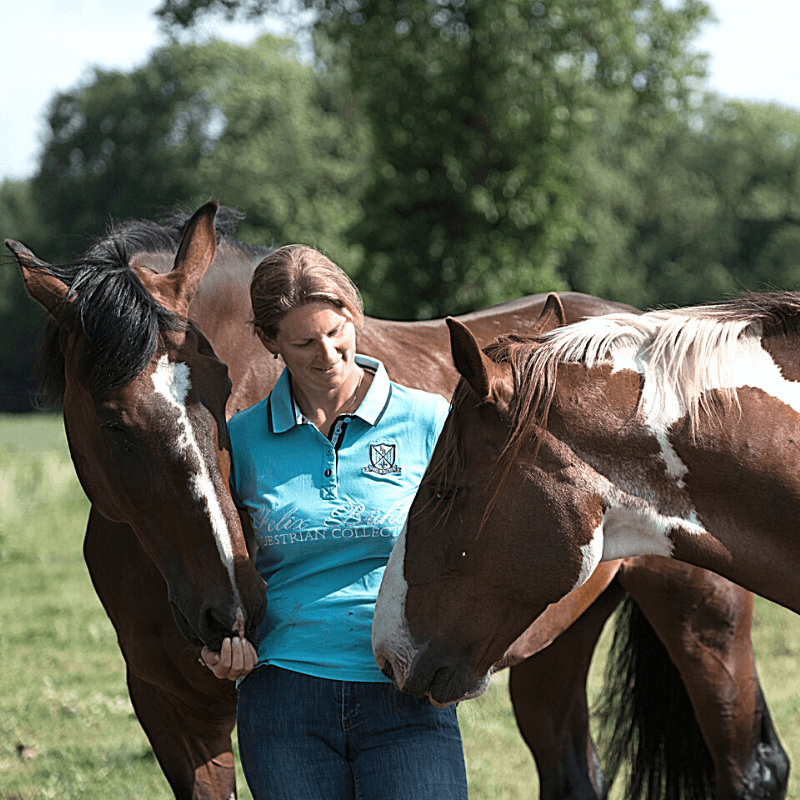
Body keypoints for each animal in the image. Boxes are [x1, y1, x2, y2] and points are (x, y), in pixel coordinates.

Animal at [7, 206, 788, 800]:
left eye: (222, 386)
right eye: (113, 421)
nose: (231, 608)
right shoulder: (175, 713)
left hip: (703, 618)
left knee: (753, 767)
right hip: (547, 638)